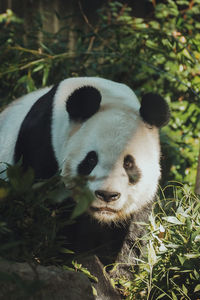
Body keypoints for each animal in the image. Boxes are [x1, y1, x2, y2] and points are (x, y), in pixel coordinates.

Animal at [0, 76, 170, 282]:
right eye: (91, 159)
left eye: (129, 163)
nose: (107, 195)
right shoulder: (41, 151)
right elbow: (58, 235)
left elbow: (131, 239)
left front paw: (120, 277)